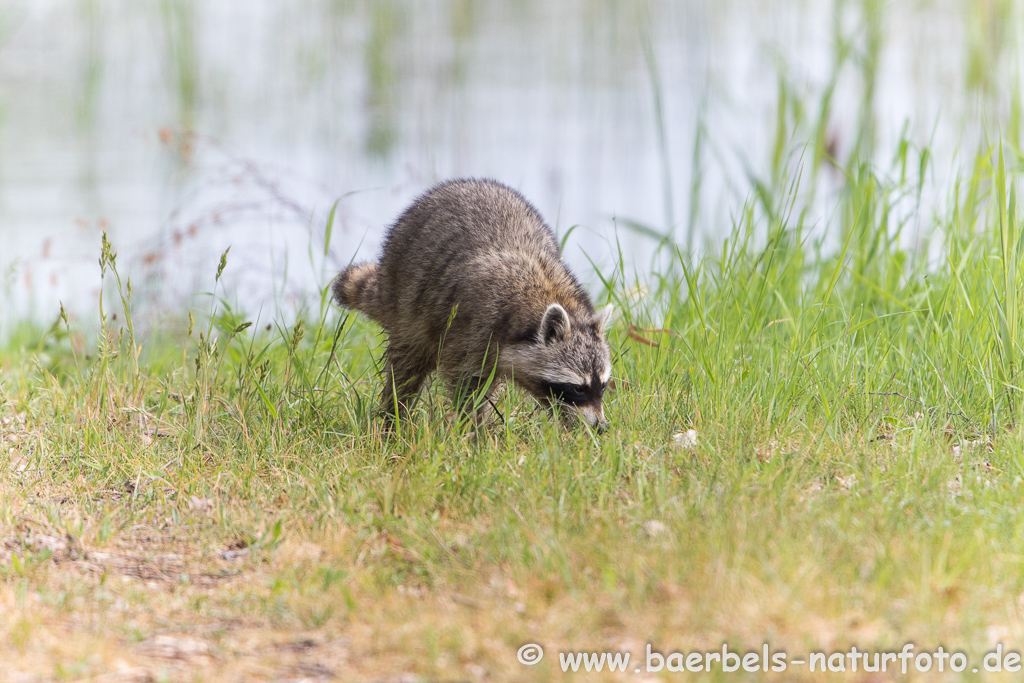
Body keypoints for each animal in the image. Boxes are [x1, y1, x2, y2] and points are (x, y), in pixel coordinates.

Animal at [331, 179, 610, 430]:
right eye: (577, 388)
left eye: (603, 385)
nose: (601, 427)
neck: (547, 290)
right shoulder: (475, 325)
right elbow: (467, 387)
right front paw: (471, 432)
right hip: (406, 296)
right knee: (406, 365)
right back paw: (395, 417)